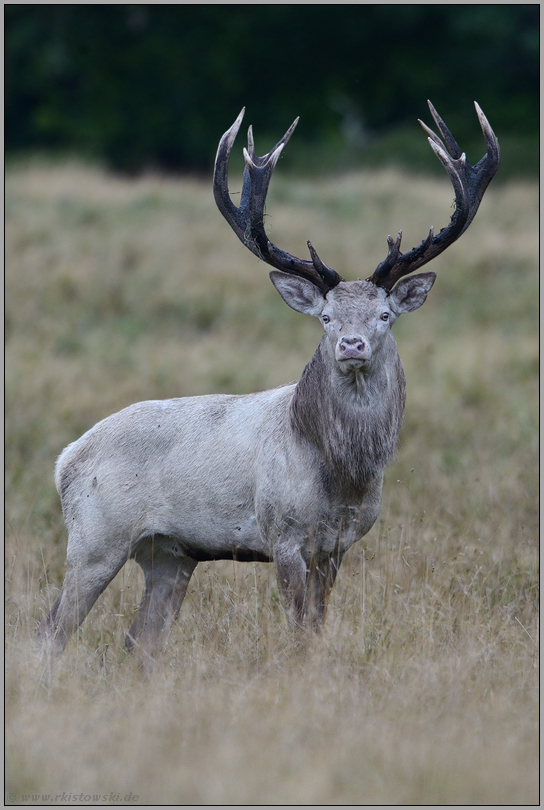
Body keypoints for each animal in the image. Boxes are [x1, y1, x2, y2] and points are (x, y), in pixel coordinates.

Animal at [38, 101, 499, 662]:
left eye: (385, 315)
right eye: (326, 316)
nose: (351, 345)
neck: (341, 472)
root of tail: (65, 460)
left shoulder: (339, 544)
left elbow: (317, 625)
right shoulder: (282, 533)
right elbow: (299, 630)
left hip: (170, 553)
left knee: (138, 642)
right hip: (95, 537)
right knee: (51, 631)